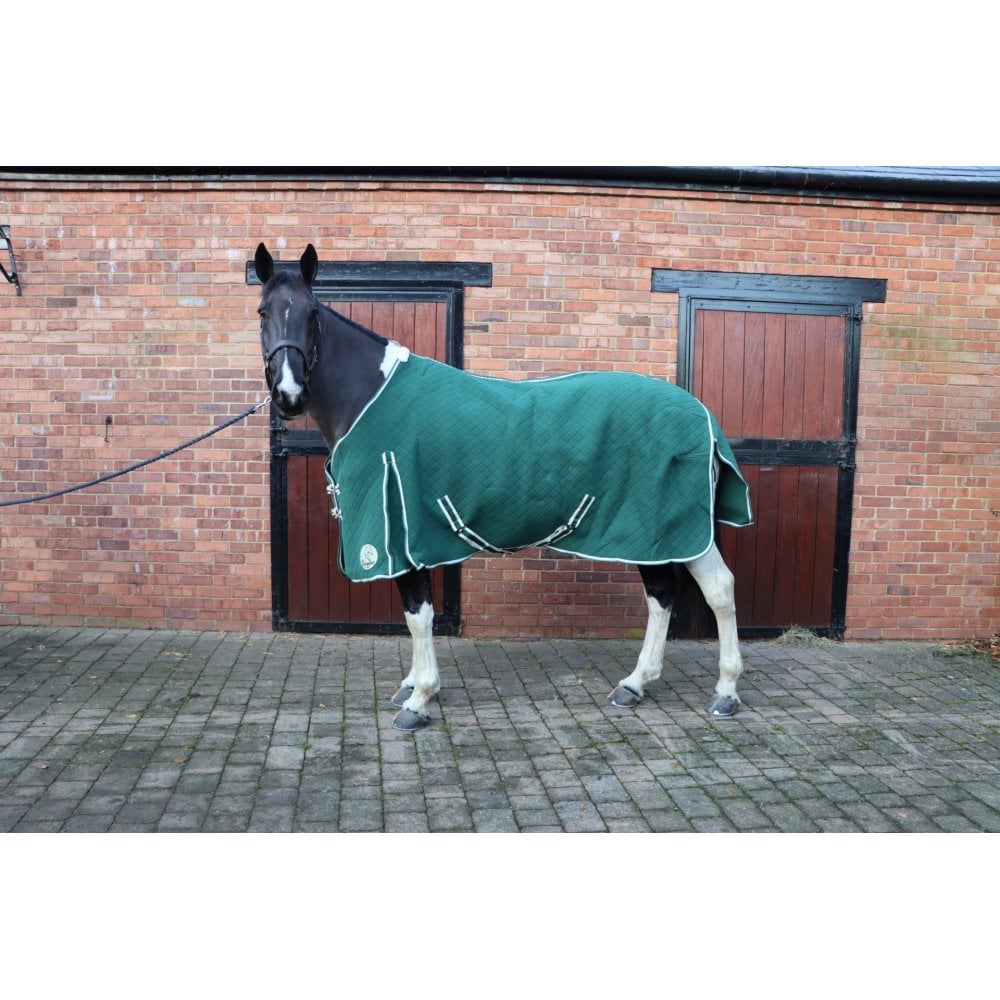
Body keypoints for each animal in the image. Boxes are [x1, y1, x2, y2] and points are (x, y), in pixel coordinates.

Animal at [253, 243, 753, 731]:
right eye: (262, 312)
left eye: (312, 313)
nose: (289, 395)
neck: (368, 396)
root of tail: (702, 416)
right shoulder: (409, 539)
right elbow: (415, 614)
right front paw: (412, 685)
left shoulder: (401, 534)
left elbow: (418, 615)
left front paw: (418, 699)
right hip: (650, 536)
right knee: (664, 595)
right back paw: (634, 685)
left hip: (666, 529)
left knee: (717, 589)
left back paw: (725, 692)